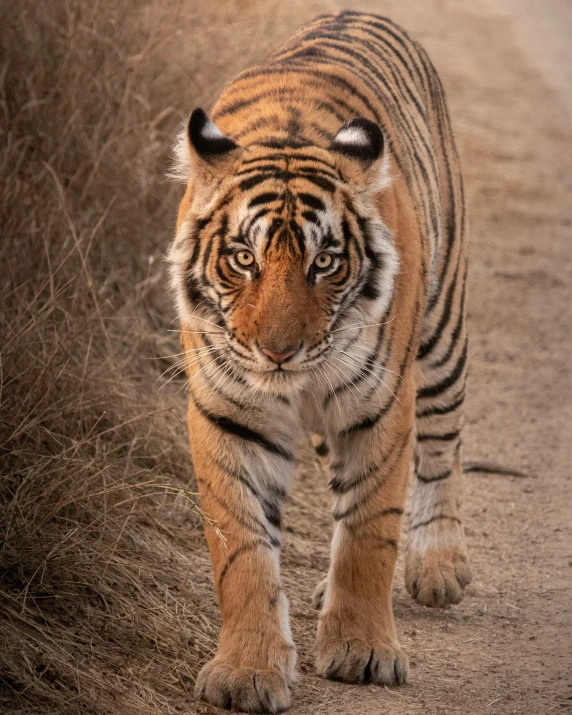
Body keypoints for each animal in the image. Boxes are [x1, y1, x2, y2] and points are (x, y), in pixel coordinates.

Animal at [168, 8, 472, 712]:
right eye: (243, 258)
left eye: (325, 263)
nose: (279, 352)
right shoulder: (230, 413)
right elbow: (242, 550)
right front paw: (247, 672)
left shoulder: (379, 405)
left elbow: (368, 531)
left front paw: (363, 650)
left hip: (441, 332)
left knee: (442, 444)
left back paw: (439, 563)